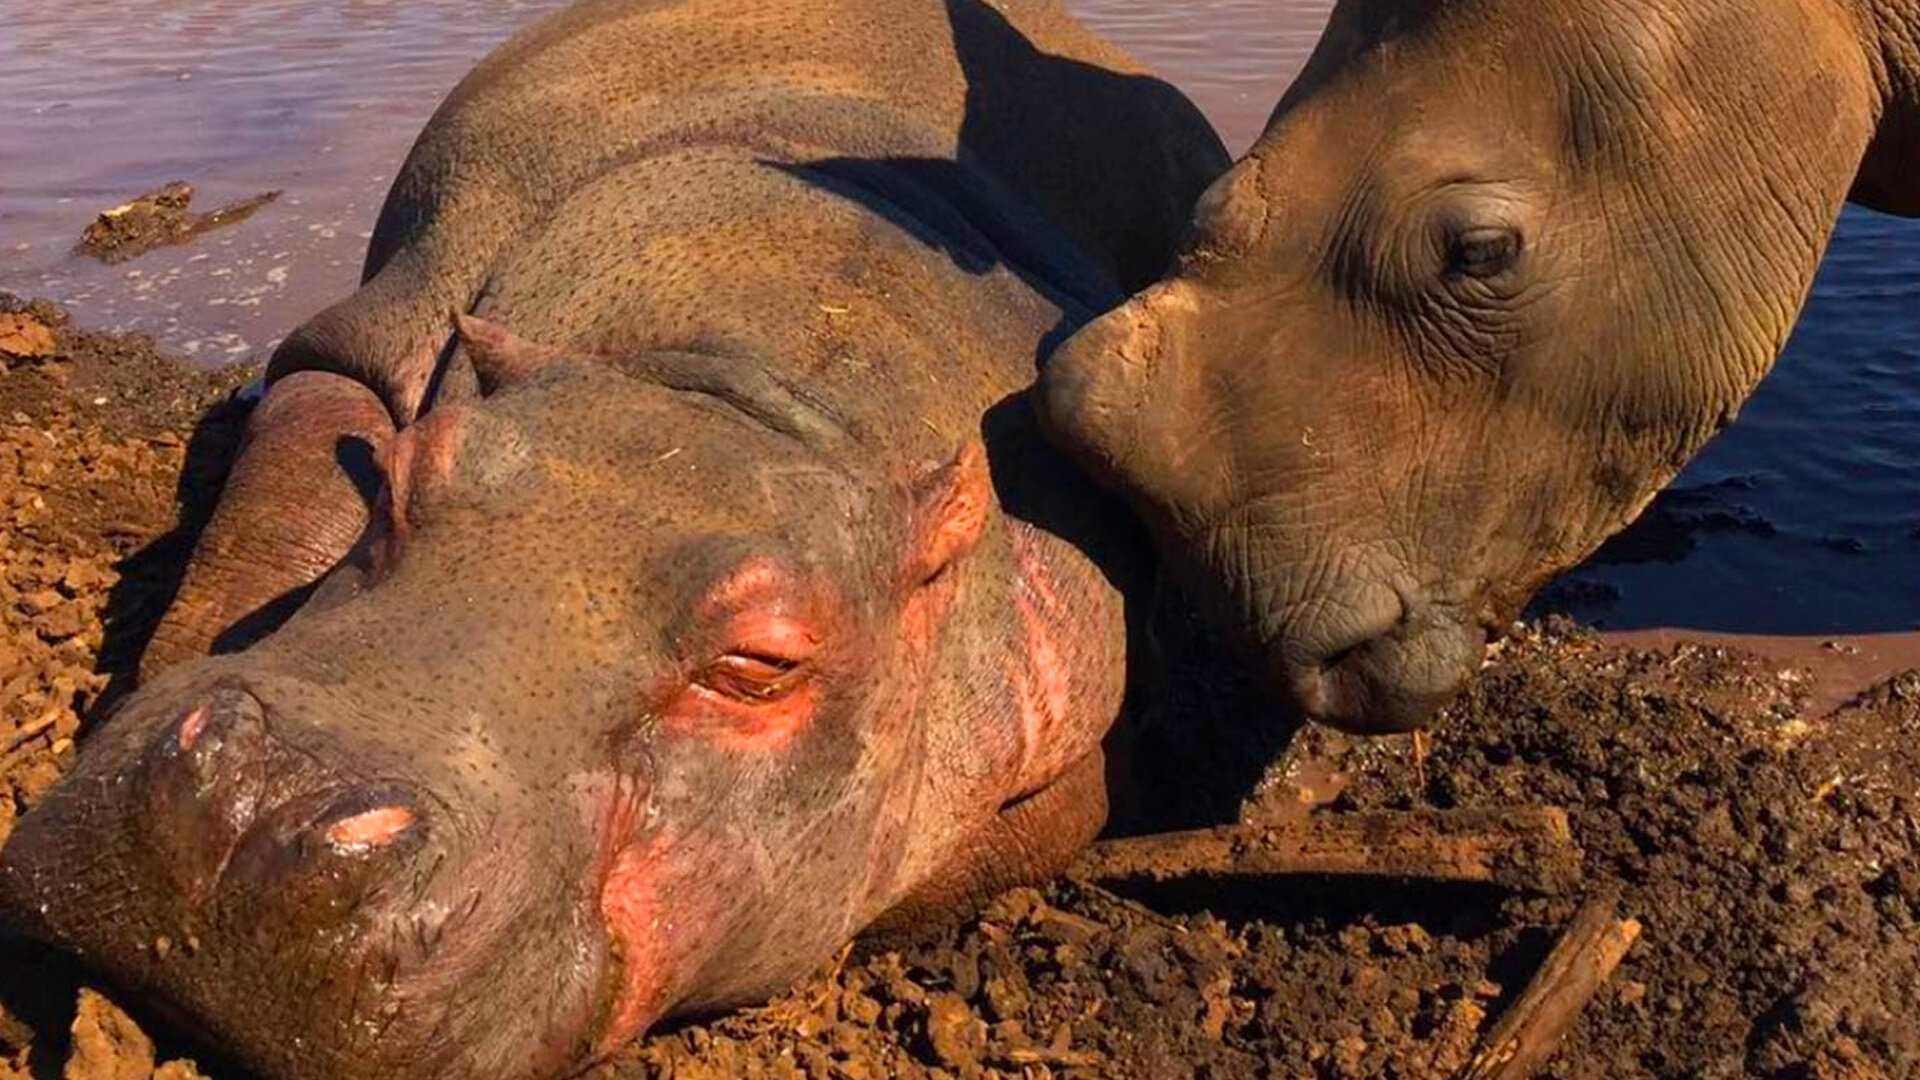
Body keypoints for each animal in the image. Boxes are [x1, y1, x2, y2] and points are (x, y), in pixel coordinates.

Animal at [0, 1, 1228, 1077]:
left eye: (762, 663)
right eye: (400, 480)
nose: (264, 806)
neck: (741, 386)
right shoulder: (368, 345)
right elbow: (269, 523)